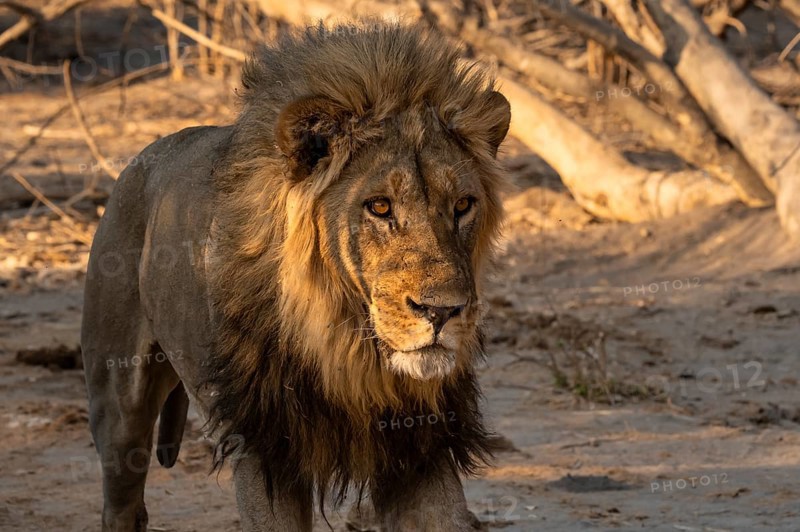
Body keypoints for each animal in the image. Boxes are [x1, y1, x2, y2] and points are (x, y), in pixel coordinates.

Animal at [81, 22, 511, 531]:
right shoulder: (265, 448)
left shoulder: (422, 444)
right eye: (379, 206)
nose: (443, 311)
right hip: (118, 403)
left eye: (463, 205)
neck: (347, 346)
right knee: (122, 498)